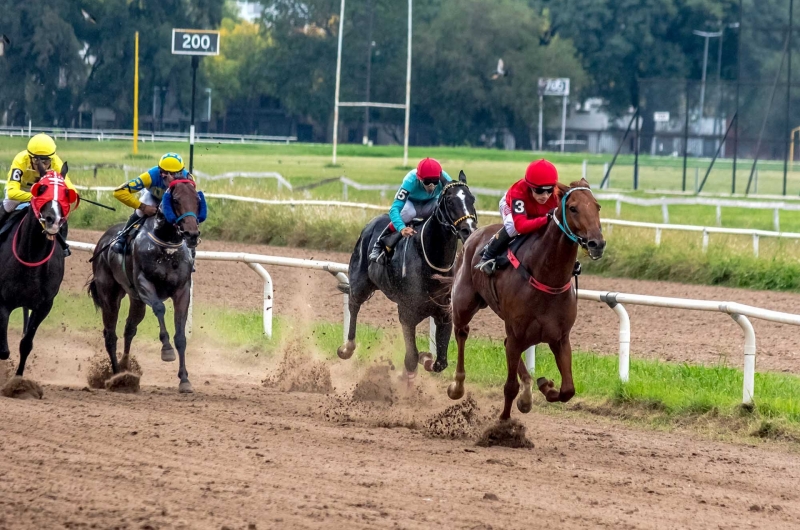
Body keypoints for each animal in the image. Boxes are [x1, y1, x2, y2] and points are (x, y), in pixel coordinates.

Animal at [0, 163, 76, 378]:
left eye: (66, 193)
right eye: (41, 189)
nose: (53, 219)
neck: (31, 257)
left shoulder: (44, 305)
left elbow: (26, 343)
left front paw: (18, 380)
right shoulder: (3, 301)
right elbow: (3, 350)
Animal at [88, 177, 206, 392]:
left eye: (197, 200)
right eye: (175, 200)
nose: (191, 234)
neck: (167, 245)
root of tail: (103, 241)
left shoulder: (182, 291)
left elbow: (181, 336)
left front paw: (184, 379)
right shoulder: (144, 285)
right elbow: (159, 308)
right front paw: (166, 350)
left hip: (136, 301)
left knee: (129, 329)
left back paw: (126, 368)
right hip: (110, 295)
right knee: (110, 335)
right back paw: (117, 376)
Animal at [336, 171, 478, 378]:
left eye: (472, 199)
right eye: (450, 201)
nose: (469, 229)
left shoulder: (444, 313)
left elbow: (440, 362)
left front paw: (427, 357)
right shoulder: (407, 313)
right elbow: (411, 359)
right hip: (360, 282)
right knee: (354, 305)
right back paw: (347, 348)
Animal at [446, 179, 604, 418]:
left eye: (597, 206)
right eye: (573, 208)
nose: (597, 243)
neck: (548, 278)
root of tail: (473, 234)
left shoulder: (560, 337)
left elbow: (568, 390)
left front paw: (546, 386)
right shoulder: (517, 333)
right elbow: (510, 387)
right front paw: (504, 422)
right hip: (464, 304)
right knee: (462, 332)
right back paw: (457, 385)